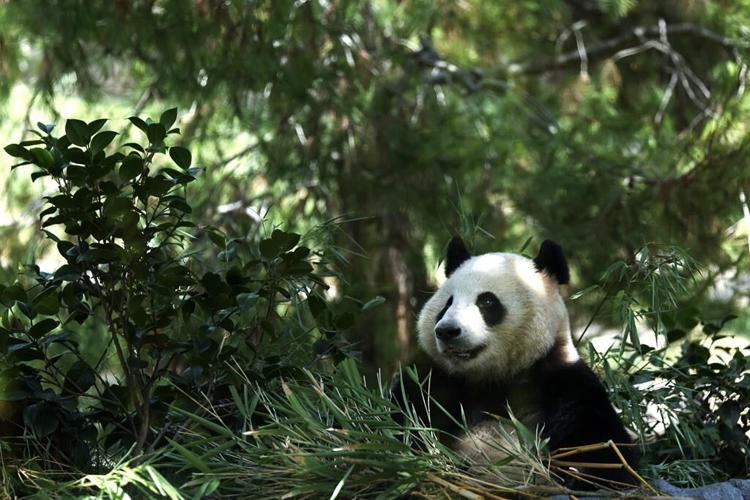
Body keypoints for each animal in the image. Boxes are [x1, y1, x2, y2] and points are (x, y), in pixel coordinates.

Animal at [395, 237, 638, 489]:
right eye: (447, 303)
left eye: (487, 301)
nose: (447, 331)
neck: (493, 377)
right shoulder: (434, 381)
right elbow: (400, 421)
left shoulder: (566, 384)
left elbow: (606, 458)